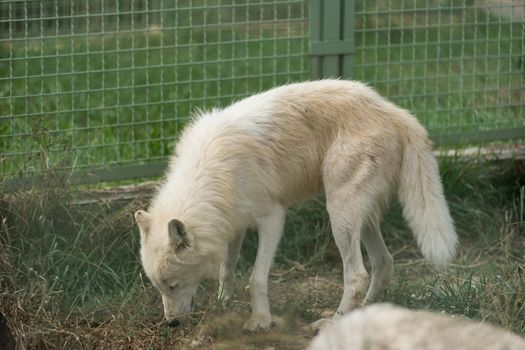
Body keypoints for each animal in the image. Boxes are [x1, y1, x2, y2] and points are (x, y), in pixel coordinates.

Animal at [134, 79, 454, 330]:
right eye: (159, 287)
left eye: (173, 285)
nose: (171, 323)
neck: (212, 174)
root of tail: (396, 112)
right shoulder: (231, 223)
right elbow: (227, 269)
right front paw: (224, 304)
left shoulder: (273, 218)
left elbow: (256, 277)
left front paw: (259, 321)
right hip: (359, 218)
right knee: (384, 263)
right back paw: (363, 315)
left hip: (339, 214)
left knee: (357, 274)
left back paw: (335, 321)